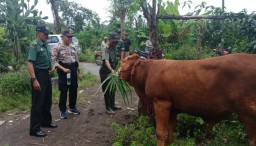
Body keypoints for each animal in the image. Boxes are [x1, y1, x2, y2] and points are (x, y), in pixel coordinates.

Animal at [119, 53, 256, 146]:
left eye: (123, 62)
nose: (118, 73)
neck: (148, 72)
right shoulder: (172, 108)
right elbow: (170, 133)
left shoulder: (161, 102)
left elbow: (161, 133)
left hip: (248, 114)